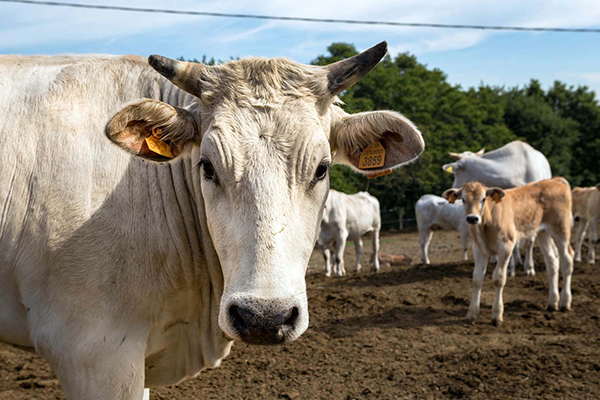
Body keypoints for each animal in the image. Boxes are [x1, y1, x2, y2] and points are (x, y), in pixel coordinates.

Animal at [442, 178, 576, 324]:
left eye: (483, 199)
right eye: (463, 199)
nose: (472, 218)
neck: (486, 224)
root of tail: (555, 180)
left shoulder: (506, 246)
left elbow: (499, 278)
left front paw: (497, 315)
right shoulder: (478, 248)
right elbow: (477, 278)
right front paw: (472, 313)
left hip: (561, 229)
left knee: (567, 260)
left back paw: (565, 302)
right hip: (543, 232)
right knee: (552, 262)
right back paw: (553, 302)